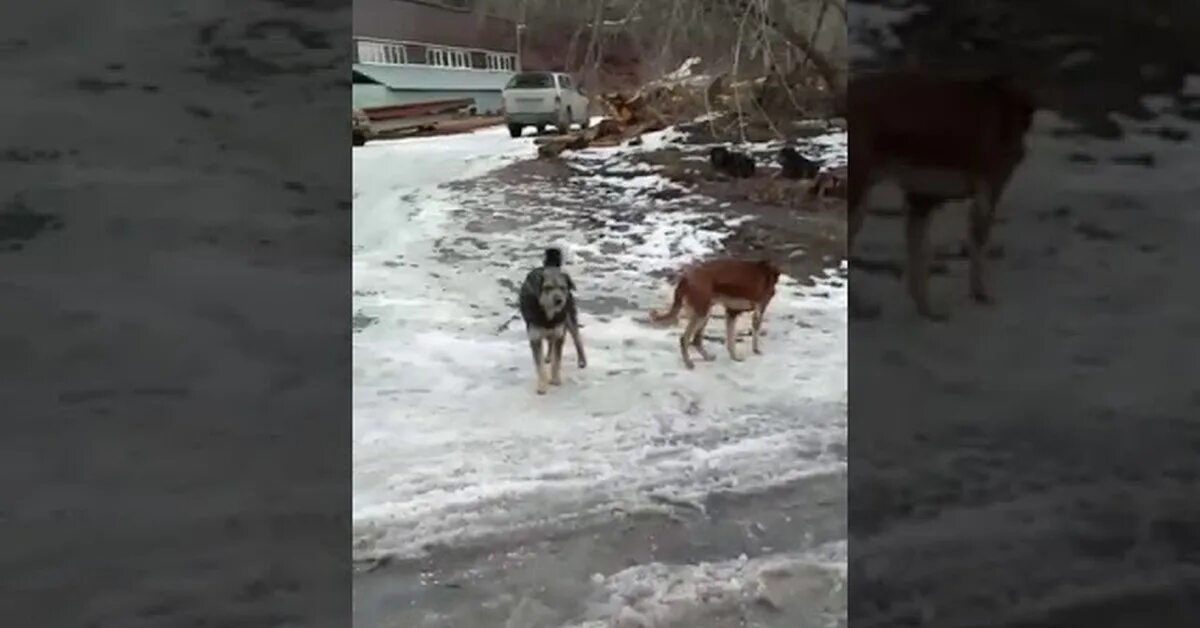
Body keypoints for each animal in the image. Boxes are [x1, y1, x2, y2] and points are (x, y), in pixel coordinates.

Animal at [518, 248, 588, 396]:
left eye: (562, 287)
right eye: (547, 287)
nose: (559, 300)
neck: (548, 313)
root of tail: (550, 266)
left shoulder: (560, 334)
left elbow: (557, 361)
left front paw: (555, 379)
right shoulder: (535, 337)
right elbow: (539, 365)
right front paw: (542, 385)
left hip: (569, 318)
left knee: (577, 339)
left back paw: (582, 360)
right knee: (550, 341)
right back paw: (548, 356)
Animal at [652, 258, 782, 372]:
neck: (766, 271)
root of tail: (685, 278)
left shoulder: (731, 313)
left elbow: (731, 341)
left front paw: (734, 358)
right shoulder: (758, 311)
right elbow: (753, 335)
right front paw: (756, 350)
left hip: (705, 314)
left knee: (696, 340)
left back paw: (707, 357)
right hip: (701, 314)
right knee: (685, 339)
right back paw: (688, 363)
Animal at [849, 71, 1036, 321]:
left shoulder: (921, 199)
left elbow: (919, 259)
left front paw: (927, 310)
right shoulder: (988, 191)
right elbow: (976, 245)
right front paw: (979, 294)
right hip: (858, 196)